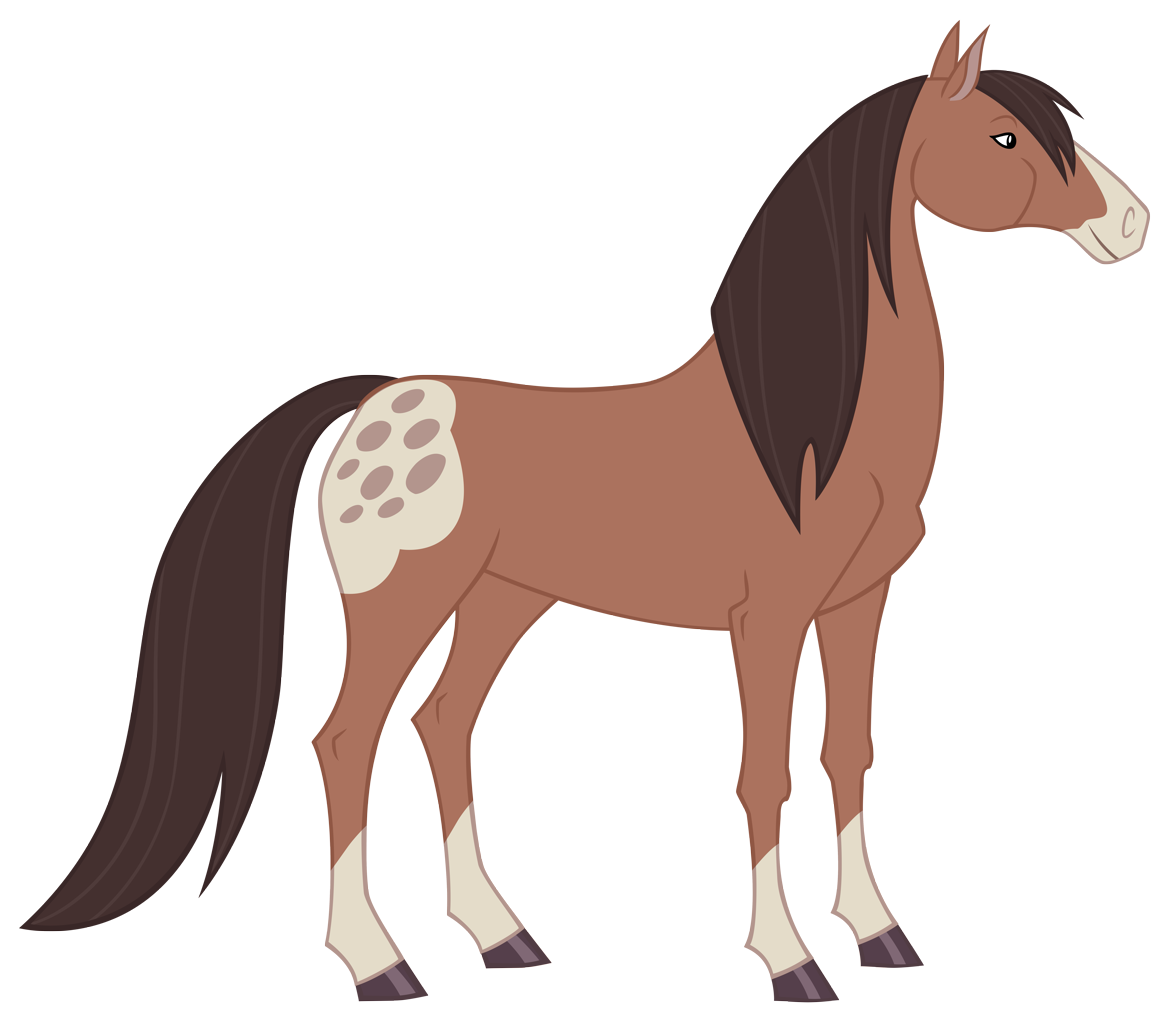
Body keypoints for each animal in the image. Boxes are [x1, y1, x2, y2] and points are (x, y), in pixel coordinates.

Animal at [18, 20, 1149, 1006]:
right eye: (1003, 137)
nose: (1132, 225)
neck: (801, 422)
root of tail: (370, 402)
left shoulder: (856, 608)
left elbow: (845, 760)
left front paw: (881, 935)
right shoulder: (769, 620)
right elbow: (764, 775)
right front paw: (789, 960)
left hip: (497, 603)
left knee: (442, 723)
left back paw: (502, 936)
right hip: (402, 604)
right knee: (346, 739)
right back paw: (380, 965)